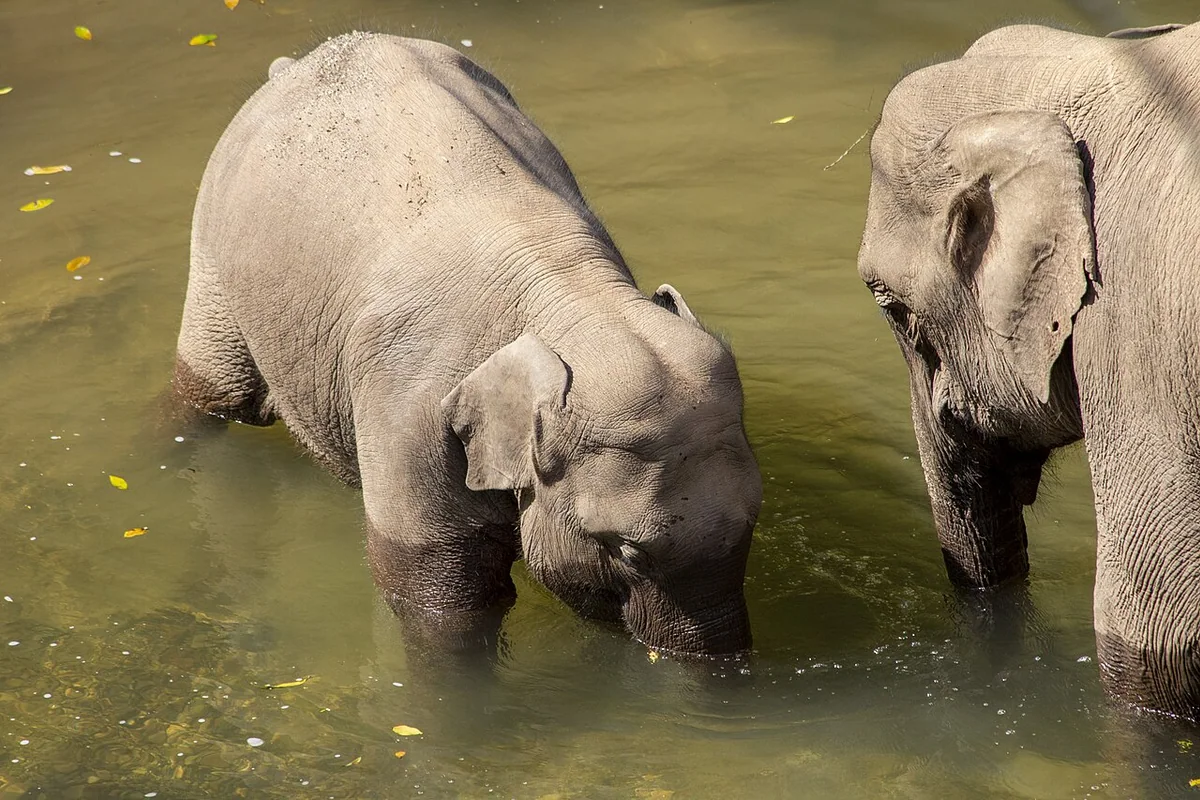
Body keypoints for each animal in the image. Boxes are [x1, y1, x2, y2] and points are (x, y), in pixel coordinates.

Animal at [173, 33, 762, 656]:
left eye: (755, 520)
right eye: (628, 550)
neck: (573, 297)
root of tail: (296, 64)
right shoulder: (408, 410)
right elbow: (443, 603)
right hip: (213, 255)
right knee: (213, 394)